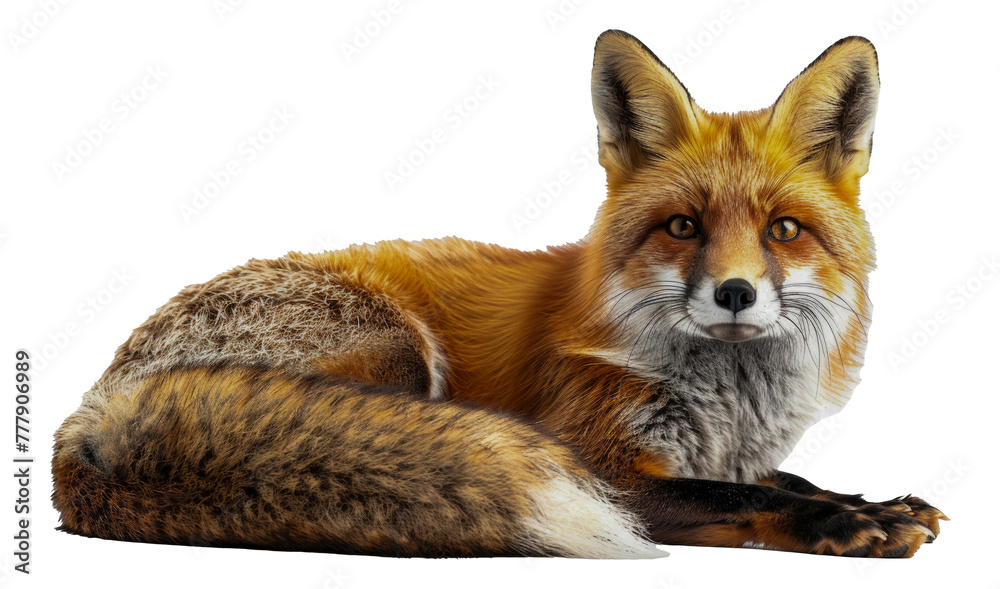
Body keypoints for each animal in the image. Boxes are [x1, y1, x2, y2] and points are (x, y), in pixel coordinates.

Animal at [53, 30, 947, 558]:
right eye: (683, 226)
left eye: (783, 229)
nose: (735, 293)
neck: (729, 401)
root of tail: (94, 411)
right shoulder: (605, 465)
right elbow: (740, 495)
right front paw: (846, 523)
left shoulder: (729, 451)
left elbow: (784, 479)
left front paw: (873, 499)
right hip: (396, 352)